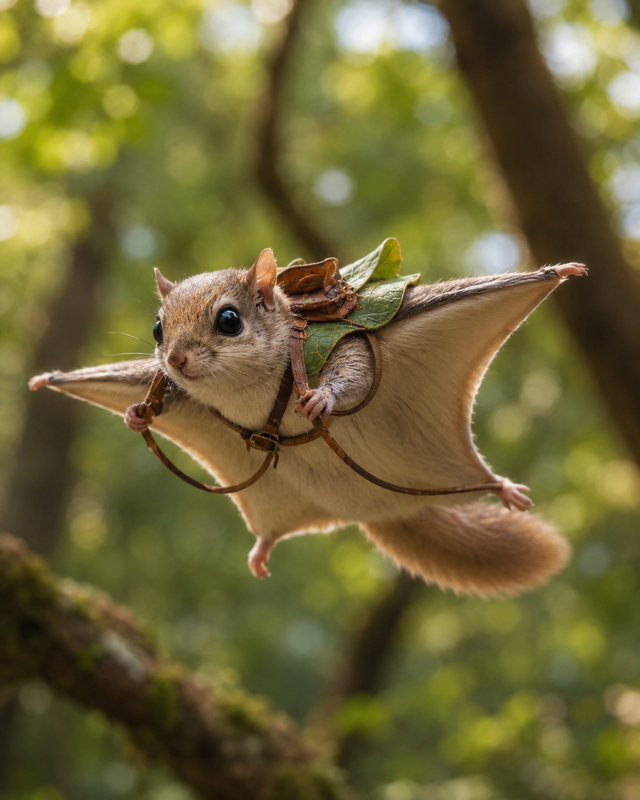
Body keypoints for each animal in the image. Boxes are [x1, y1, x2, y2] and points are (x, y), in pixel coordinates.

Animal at [29, 250, 587, 596]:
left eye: (229, 320)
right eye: (157, 329)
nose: (177, 361)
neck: (250, 393)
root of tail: (381, 509)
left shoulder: (340, 344)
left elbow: (356, 371)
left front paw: (322, 398)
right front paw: (128, 411)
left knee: (485, 482)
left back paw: (502, 487)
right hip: (280, 502)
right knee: (272, 530)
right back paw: (262, 547)